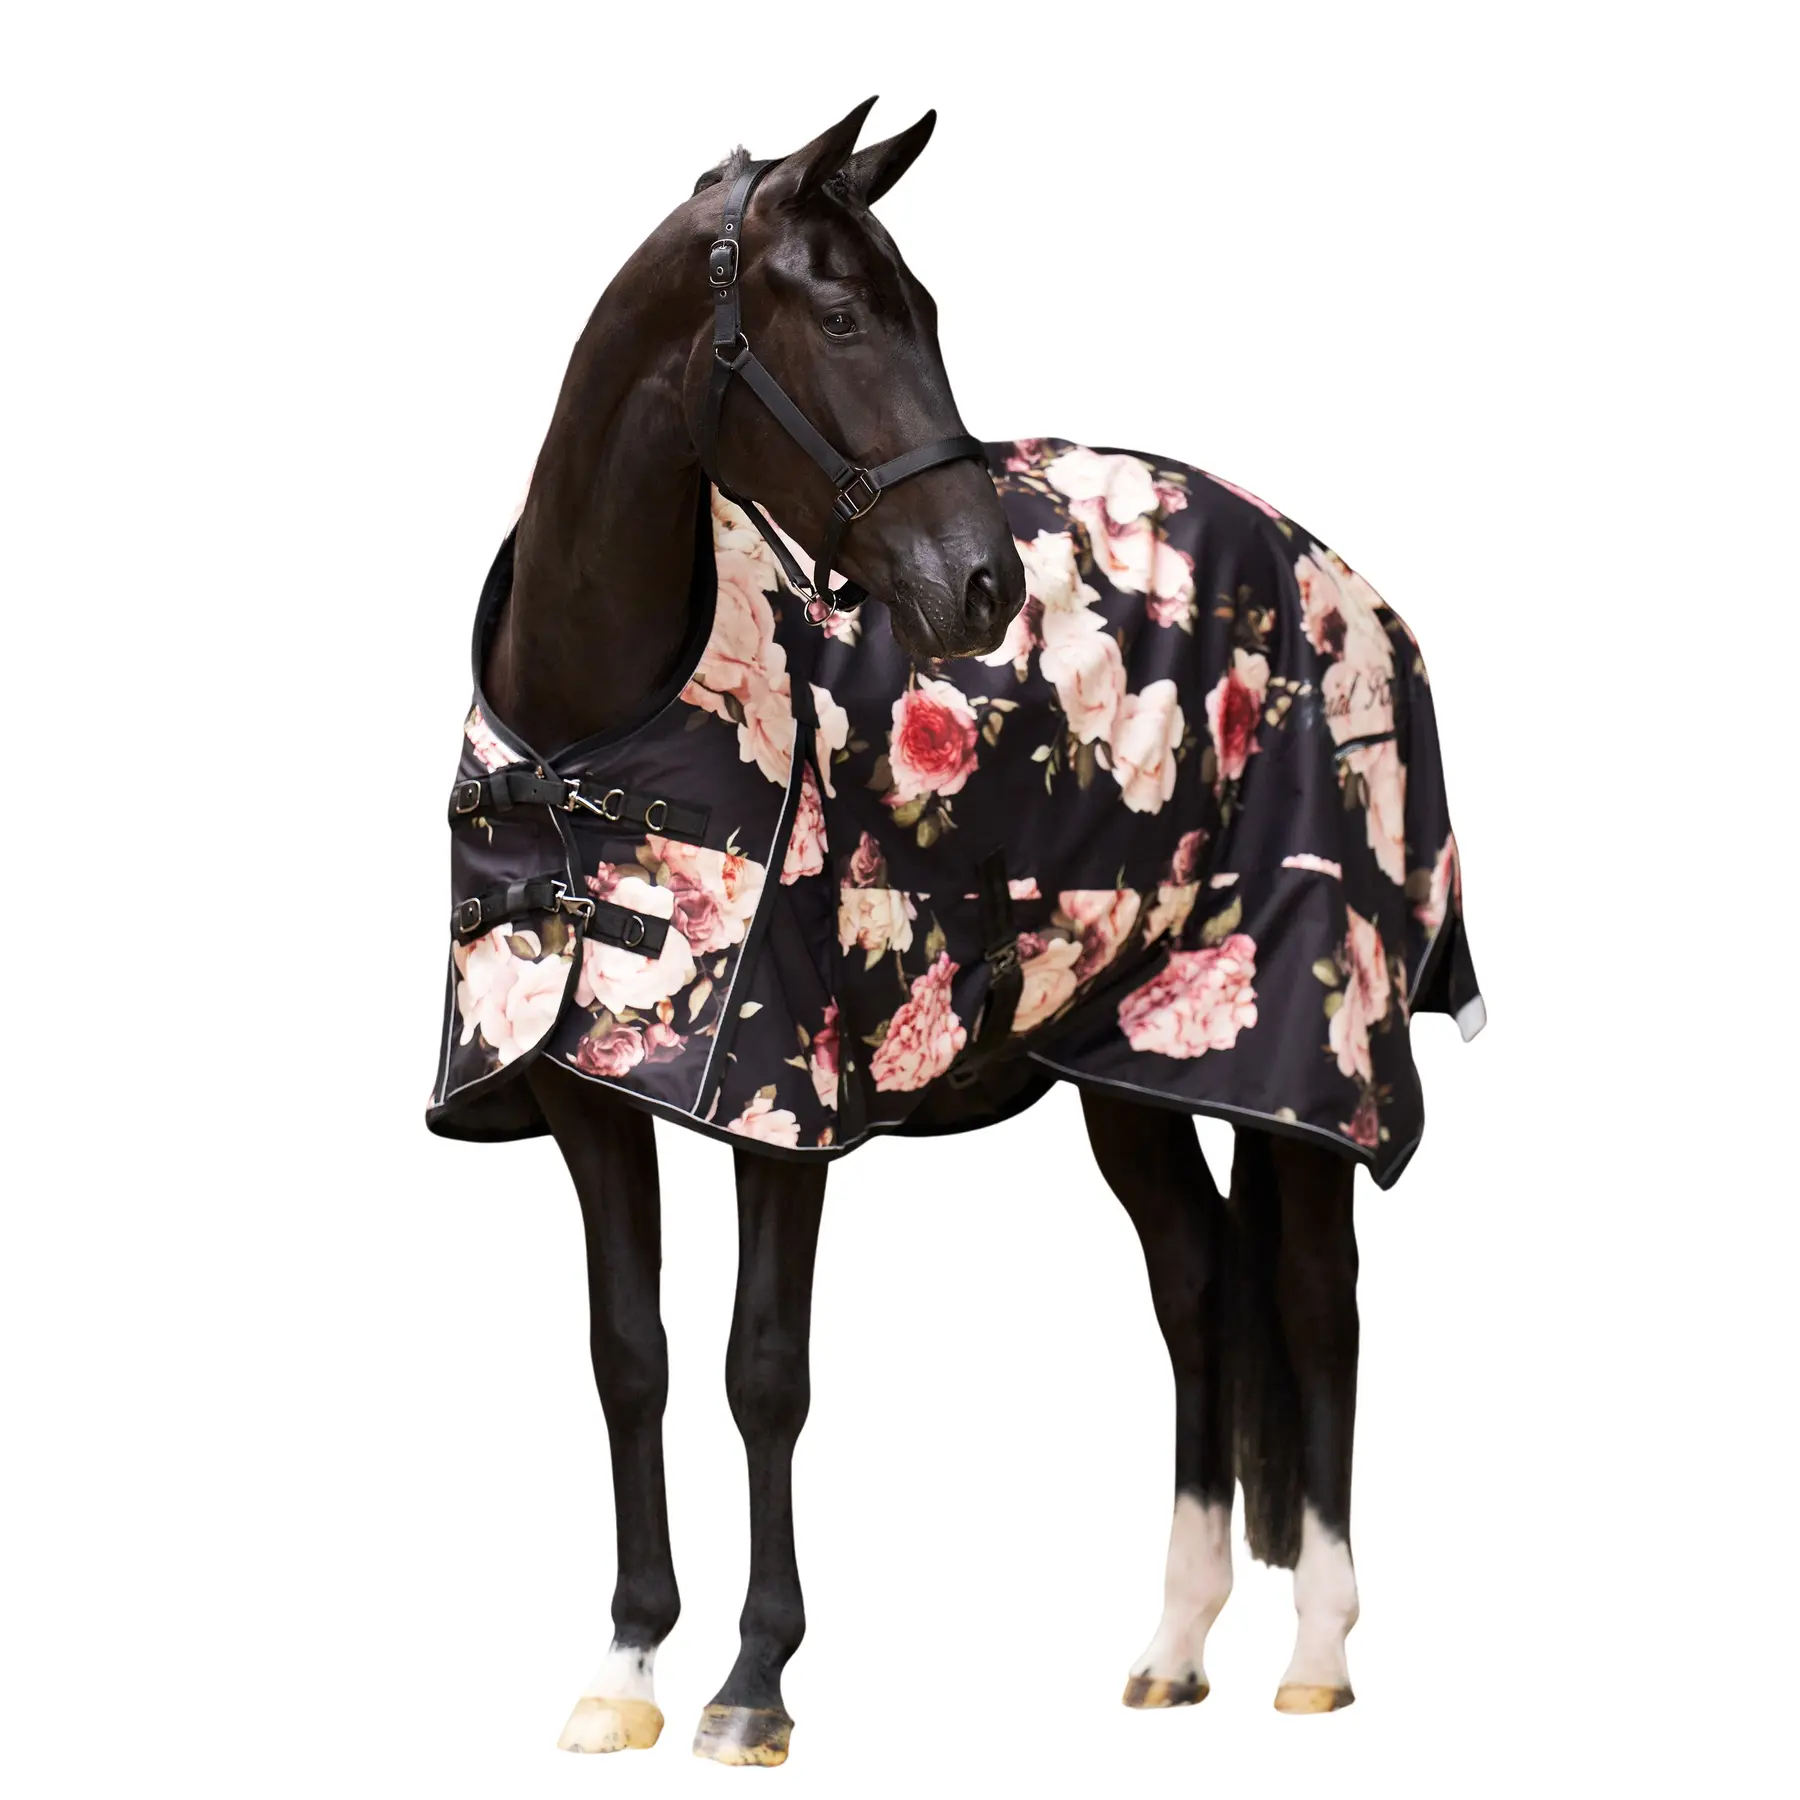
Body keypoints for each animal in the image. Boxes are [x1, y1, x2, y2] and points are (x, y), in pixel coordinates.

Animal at [427, 97, 1482, 1765]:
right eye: (848, 317)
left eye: (925, 309)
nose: (980, 584)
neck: (604, 730)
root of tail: (1345, 585)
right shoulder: (585, 1094)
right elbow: (629, 1359)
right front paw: (627, 1664)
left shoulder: (781, 1098)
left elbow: (763, 1370)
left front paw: (753, 1682)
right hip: (1137, 1063)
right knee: (1195, 1289)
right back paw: (1174, 1647)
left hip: (1316, 1052)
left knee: (1321, 1307)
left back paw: (1316, 1652)